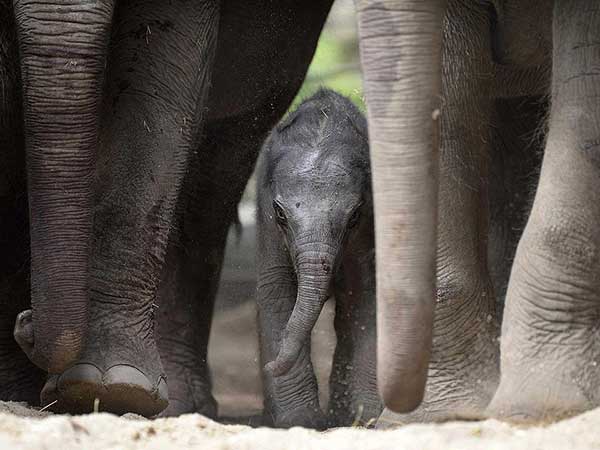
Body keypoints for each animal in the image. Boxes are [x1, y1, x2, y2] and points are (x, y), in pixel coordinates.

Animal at [256, 89, 380, 428]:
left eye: (354, 217)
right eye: (280, 214)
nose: (269, 365)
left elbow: (366, 297)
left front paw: (366, 419)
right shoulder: (266, 219)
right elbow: (276, 290)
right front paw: (301, 421)